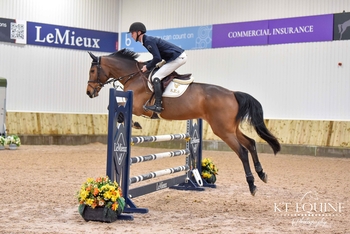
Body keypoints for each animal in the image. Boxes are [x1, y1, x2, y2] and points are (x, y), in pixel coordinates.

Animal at [86, 49, 280, 196]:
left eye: (92, 71)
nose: (89, 92)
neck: (133, 76)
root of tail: (232, 93)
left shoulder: (138, 107)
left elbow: (117, 109)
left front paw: (133, 124)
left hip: (223, 130)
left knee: (242, 151)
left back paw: (252, 184)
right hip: (231, 128)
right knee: (251, 143)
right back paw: (262, 174)